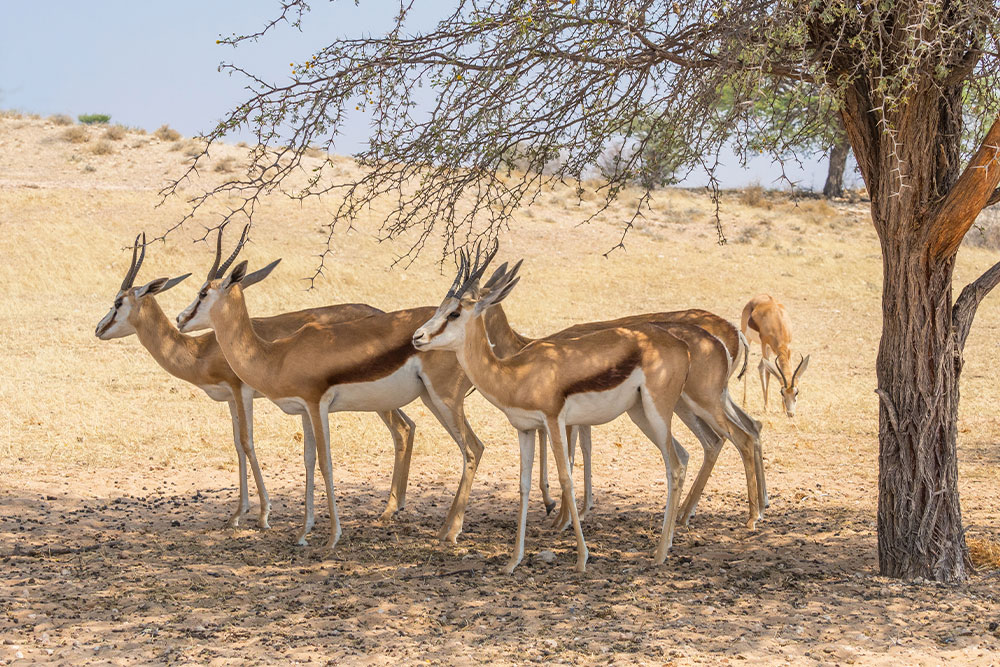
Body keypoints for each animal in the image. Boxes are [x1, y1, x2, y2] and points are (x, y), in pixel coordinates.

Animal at [95, 232, 416, 528]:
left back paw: (388, 510)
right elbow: (237, 445)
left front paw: (262, 515)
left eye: (118, 301)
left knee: (400, 429)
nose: (98, 328)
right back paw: (397, 505)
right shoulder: (229, 398)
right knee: (409, 426)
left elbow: (248, 443)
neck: (202, 350)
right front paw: (238, 513)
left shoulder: (242, 391)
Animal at [177, 237, 488, 552]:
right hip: (431, 400)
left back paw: (451, 532)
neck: (277, 355)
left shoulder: (318, 406)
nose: (180, 318)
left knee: (473, 448)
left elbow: (326, 463)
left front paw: (332, 536)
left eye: (203, 292)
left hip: (445, 400)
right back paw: (438, 528)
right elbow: (308, 461)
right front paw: (303, 533)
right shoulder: (303, 411)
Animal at [484, 304, 764, 532]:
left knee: (734, 438)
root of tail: (724, 337)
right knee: (743, 430)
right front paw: (575, 510)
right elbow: (583, 449)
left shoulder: (562, 417)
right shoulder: (572, 418)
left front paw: (562, 517)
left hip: (694, 403)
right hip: (700, 403)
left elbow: (571, 456)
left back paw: (748, 516)